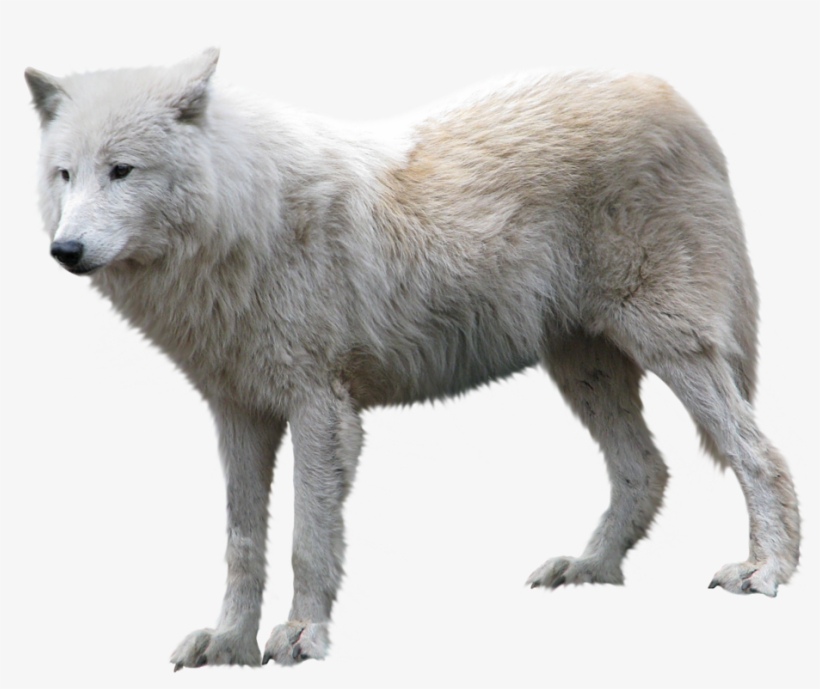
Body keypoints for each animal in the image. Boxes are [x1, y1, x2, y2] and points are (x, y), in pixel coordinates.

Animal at [26, 49, 799, 668]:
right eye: (65, 174)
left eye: (122, 170)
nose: (64, 251)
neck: (244, 221)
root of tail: (664, 90)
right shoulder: (238, 412)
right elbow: (243, 545)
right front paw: (229, 645)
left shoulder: (319, 407)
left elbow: (308, 537)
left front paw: (302, 635)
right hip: (582, 365)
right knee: (646, 468)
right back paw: (590, 567)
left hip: (671, 346)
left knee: (760, 455)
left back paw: (765, 570)